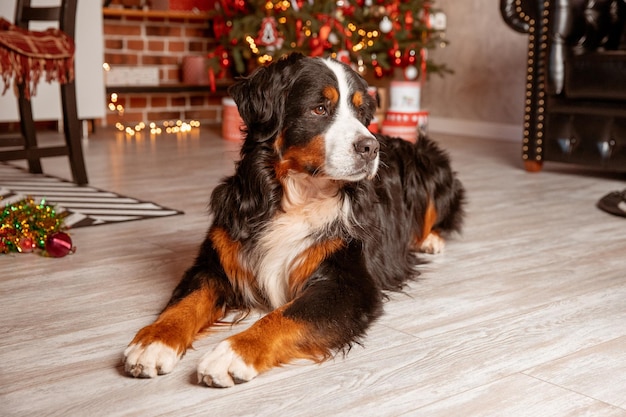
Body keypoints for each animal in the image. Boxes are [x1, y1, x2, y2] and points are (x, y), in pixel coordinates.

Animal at [123, 52, 464, 386]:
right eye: (320, 108)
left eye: (361, 111)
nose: (370, 147)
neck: (301, 196)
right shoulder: (214, 261)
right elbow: (186, 302)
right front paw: (153, 341)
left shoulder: (351, 285)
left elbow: (286, 315)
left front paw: (232, 353)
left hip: (428, 161)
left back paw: (430, 240)